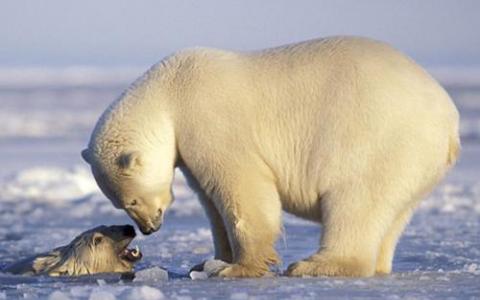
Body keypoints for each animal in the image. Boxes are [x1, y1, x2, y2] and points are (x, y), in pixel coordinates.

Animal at [80, 36, 460, 278]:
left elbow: (243, 189)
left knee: (355, 201)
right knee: (392, 213)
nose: (149, 228)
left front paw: (239, 268)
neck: (168, 91)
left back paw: (315, 265)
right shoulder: (189, 147)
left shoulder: (210, 118)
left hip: (379, 139)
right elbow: (211, 201)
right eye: (120, 203)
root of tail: (450, 119)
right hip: (413, 162)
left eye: (130, 200)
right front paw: (207, 263)